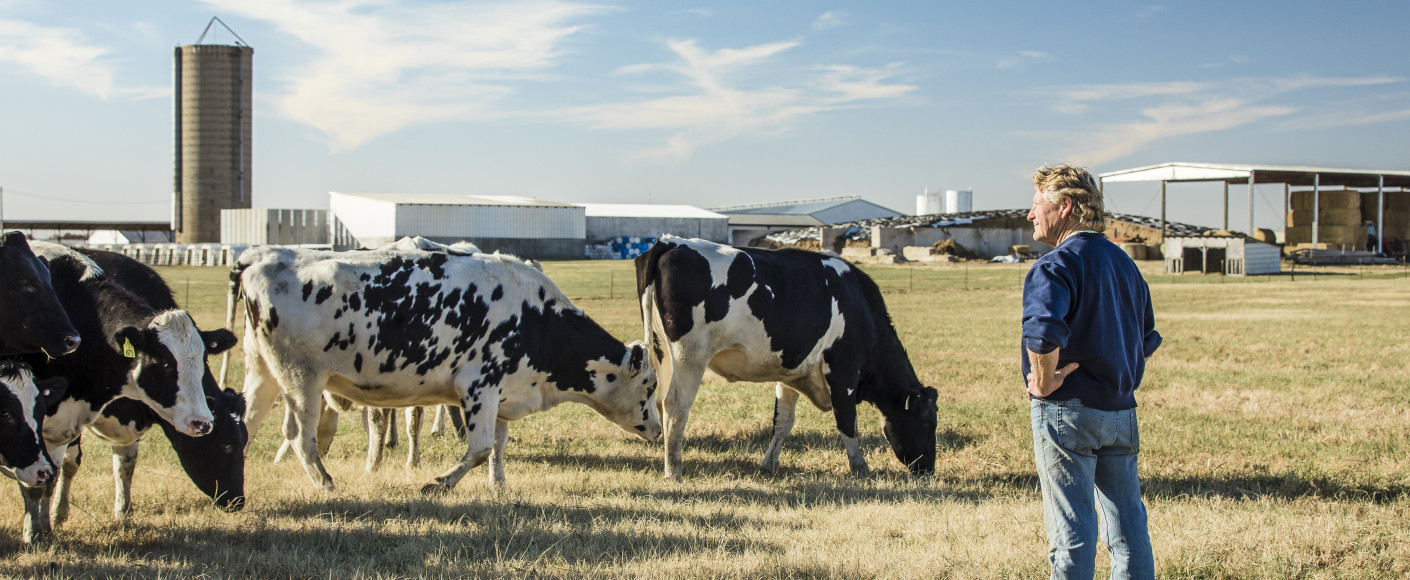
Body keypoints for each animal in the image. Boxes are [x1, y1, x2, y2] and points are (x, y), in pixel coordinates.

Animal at [17, 242, 236, 541]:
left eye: (203, 360)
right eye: (164, 362)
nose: (202, 423)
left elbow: (117, 465)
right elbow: (37, 481)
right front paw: (35, 533)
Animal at [234, 245, 662, 493]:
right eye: (649, 385)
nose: (658, 430)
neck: (534, 317)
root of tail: (260, 260)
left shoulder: (502, 393)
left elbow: (498, 445)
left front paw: (498, 485)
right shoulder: (479, 387)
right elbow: (480, 447)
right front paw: (439, 484)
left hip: (263, 372)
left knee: (247, 423)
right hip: (300, 377)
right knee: (299, 435)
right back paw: (325, 484)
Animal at [637, 235, 936, 482]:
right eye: (928, 422)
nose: (930, 469)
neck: (860, 307)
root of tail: (671, 242)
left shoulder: (791, 371)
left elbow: (783, 422)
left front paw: (768, 465)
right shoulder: (844, 370)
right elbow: (847, 420)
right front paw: (860, 467)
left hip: (663, 354)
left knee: (661, 403)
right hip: (690, 355)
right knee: (676, 406)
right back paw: (673, 470)